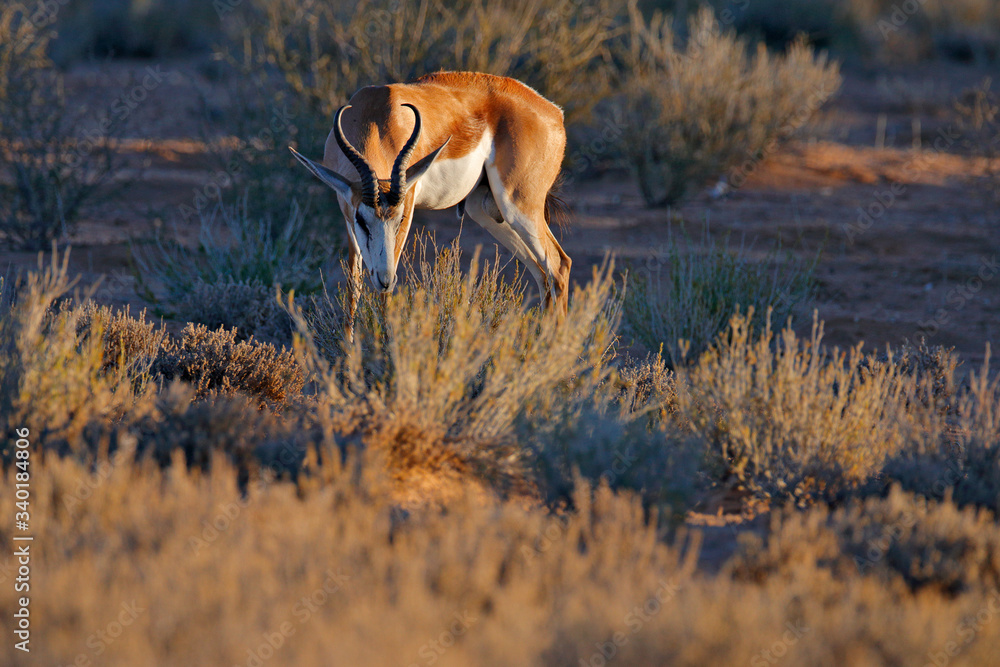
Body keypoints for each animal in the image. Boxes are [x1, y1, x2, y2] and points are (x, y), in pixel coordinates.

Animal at [289, 71, 572, 328]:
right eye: (362, 220)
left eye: (400, 219)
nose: (383, 279)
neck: (375, 116)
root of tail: (554, 112)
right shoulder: (348, 216)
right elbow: (353, 286)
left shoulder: (408, 203)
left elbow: (385, 291)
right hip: (485, 211)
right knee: (541, 272)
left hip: (518, 206)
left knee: (559, 265)